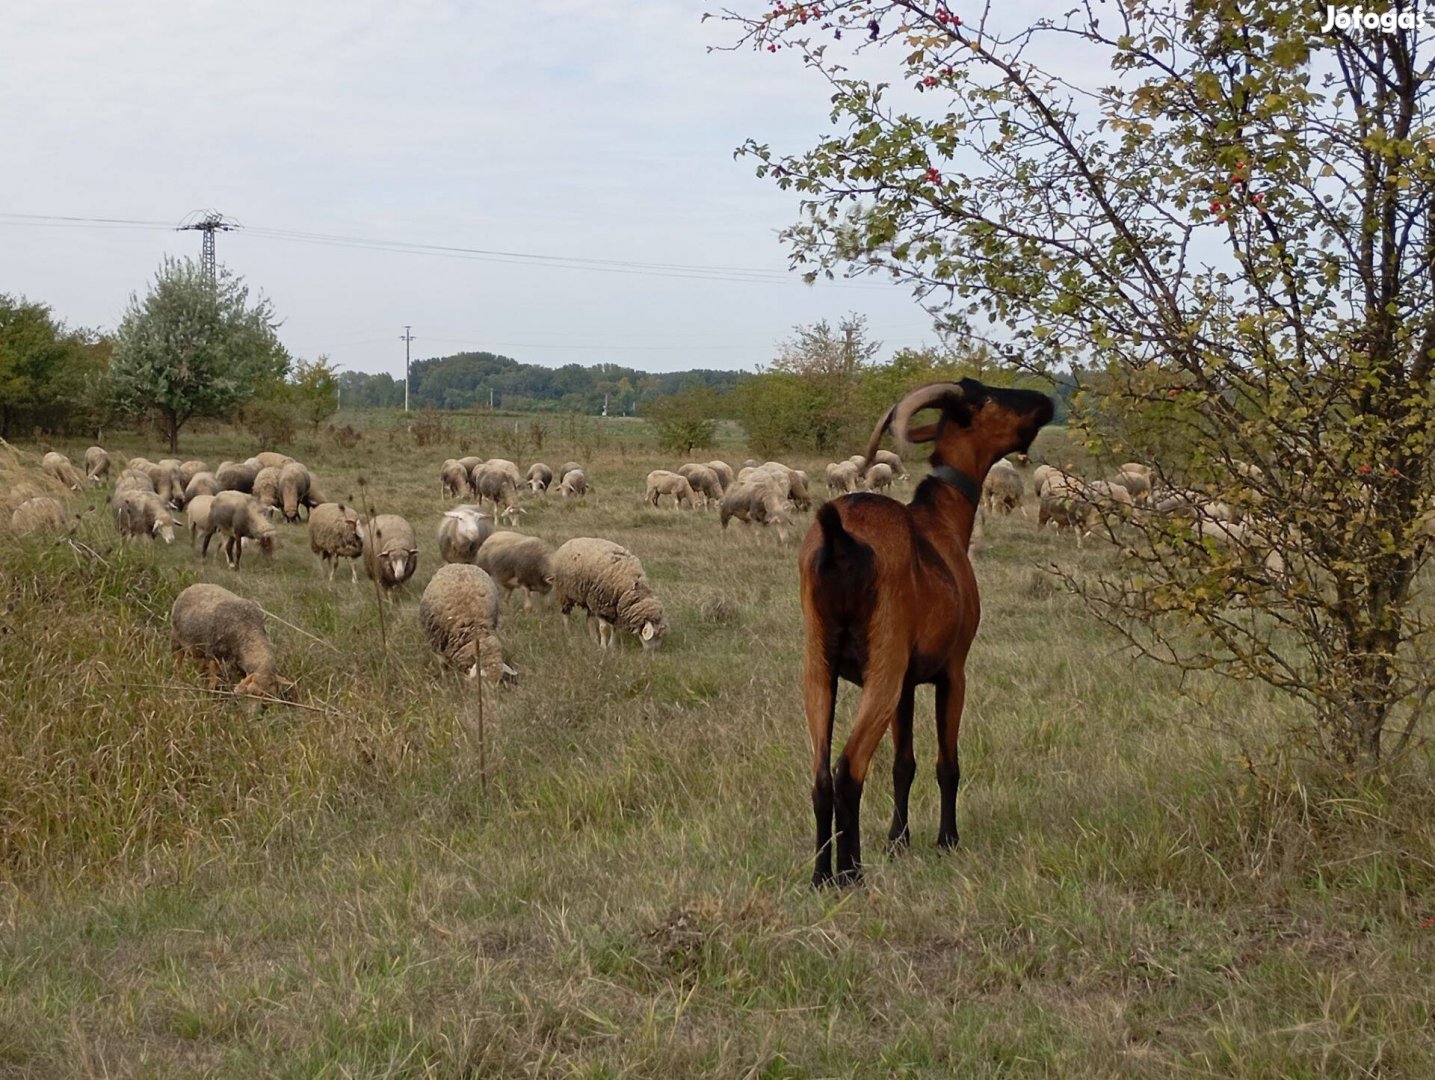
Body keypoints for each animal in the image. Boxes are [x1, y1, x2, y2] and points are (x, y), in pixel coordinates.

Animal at [797, 378, 1056, 883]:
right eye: (988, 397)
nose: (1045, 400)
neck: (941, 522)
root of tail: (839, 539)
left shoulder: (906, 685)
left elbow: (904, 764)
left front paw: (899, 840)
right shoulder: (951, 672)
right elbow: (945, 764)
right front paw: (946, 839)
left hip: (819, 667)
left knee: (820, 775)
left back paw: (821, 877)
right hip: (880, 667)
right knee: (848, 769)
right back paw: (851, 874)